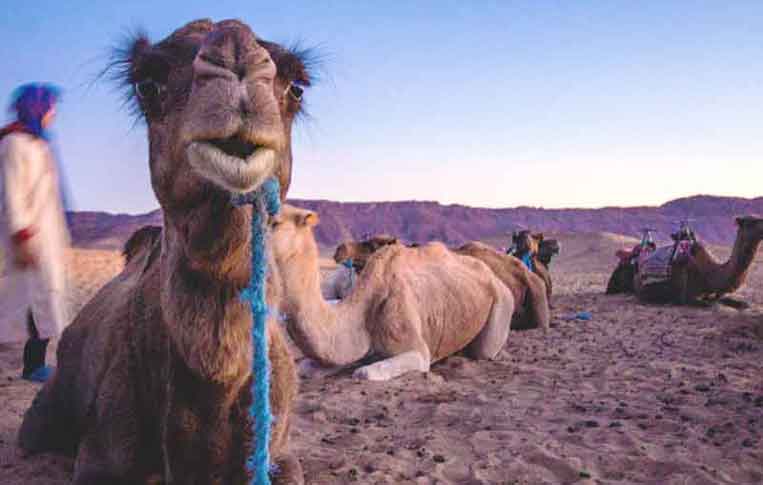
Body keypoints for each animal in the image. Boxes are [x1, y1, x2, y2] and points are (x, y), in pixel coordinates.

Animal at [272, 202, 516, 380]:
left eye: (274, 222)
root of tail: (492, 275)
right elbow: (306, 367)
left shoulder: (417, 350)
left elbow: (363, 373)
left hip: (504, 300)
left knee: (485, 351)